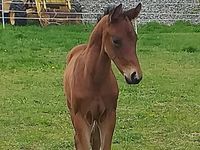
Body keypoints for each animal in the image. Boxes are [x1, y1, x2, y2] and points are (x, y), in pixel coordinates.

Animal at [63, 3, 142, 150]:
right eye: (116, 40)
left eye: (135, 39)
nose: (135, 76)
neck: (93, 79)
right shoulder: (81, 118)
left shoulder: (108, 116)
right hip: (73, 112)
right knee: (77, 139)